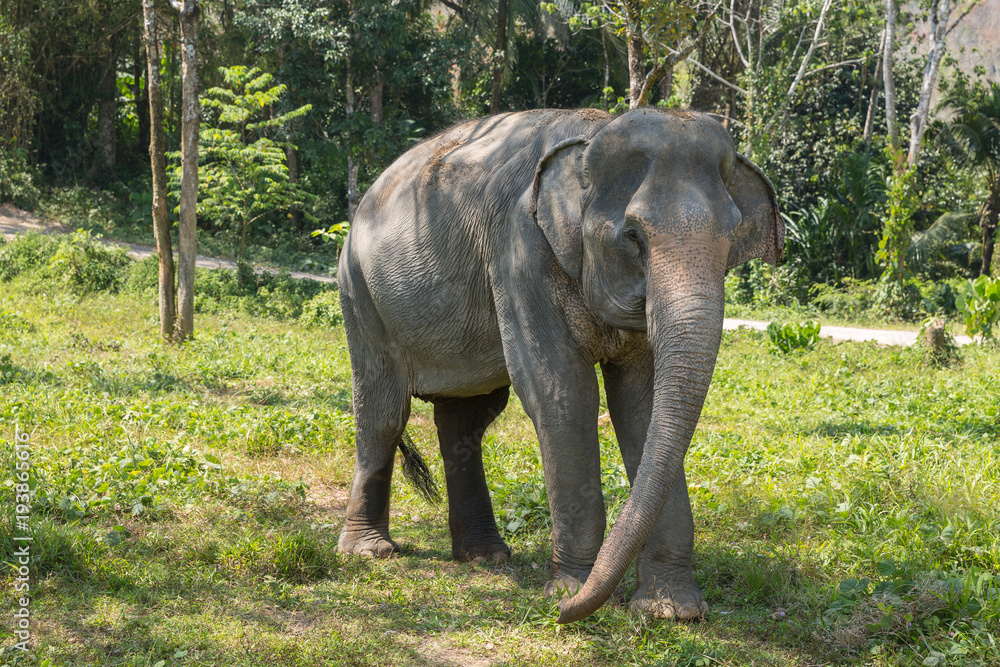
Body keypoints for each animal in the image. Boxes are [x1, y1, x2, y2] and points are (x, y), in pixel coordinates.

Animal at [336, 107, 782, 624]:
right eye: (633, 236)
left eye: (731, 240)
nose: (566, 612)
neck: (594, 133)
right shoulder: (520, 253)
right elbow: (562, 395)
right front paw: (568, 593)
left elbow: (643, 407)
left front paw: (671, 611)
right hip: (360, 294)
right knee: (384, 413)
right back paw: (371, 551)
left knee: (467, 418)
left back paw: (486, 556)